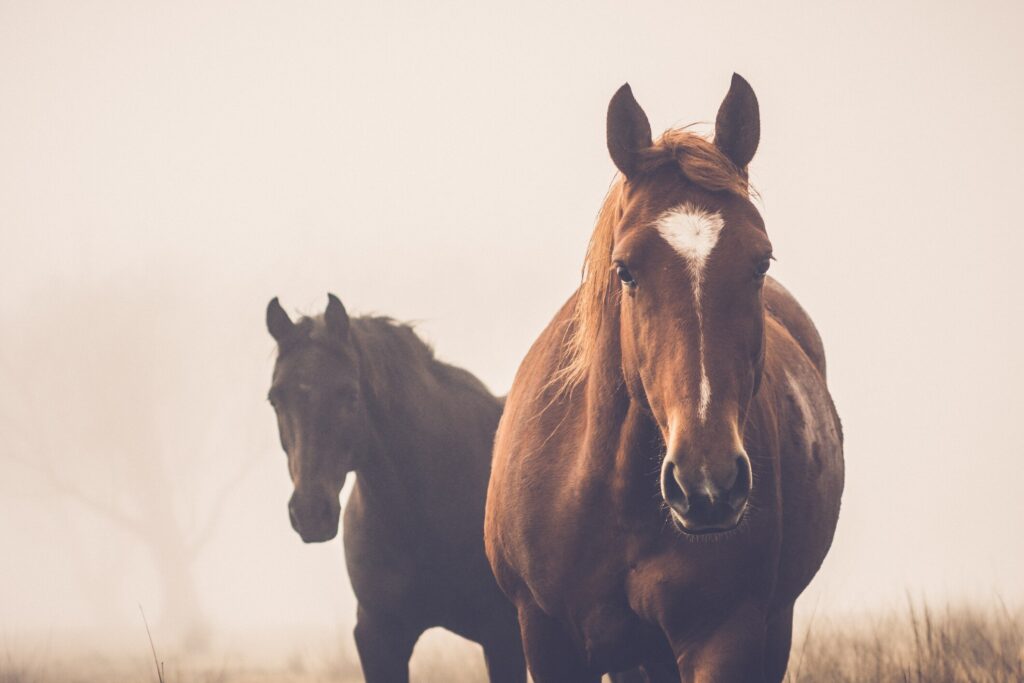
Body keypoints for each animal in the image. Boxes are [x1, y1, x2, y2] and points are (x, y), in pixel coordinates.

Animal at [484, 74, 844, 683]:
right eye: (625, 270)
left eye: (761, 262)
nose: (707, 483)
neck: (611, 493)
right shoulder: (546, 635)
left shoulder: (724, 637)